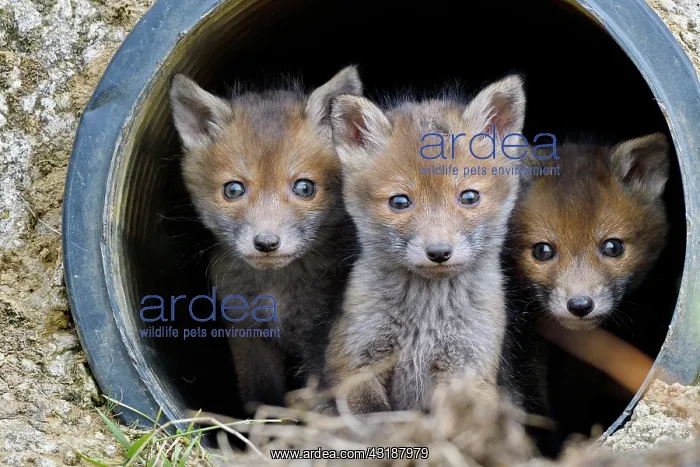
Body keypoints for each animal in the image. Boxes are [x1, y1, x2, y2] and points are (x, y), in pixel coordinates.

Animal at [168, 66, 363, 412]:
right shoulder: (245, 331)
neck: (277, 290)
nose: (267, 243)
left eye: (304, 188)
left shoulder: (320, 332)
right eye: (233, 190)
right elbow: (259, 396)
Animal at [320, 75, 527, 414]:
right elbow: (369, 415)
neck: (426, 321)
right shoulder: (355, 360)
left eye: (469, 196)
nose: (439, 252)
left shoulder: (468, 366)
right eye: (400, 201)